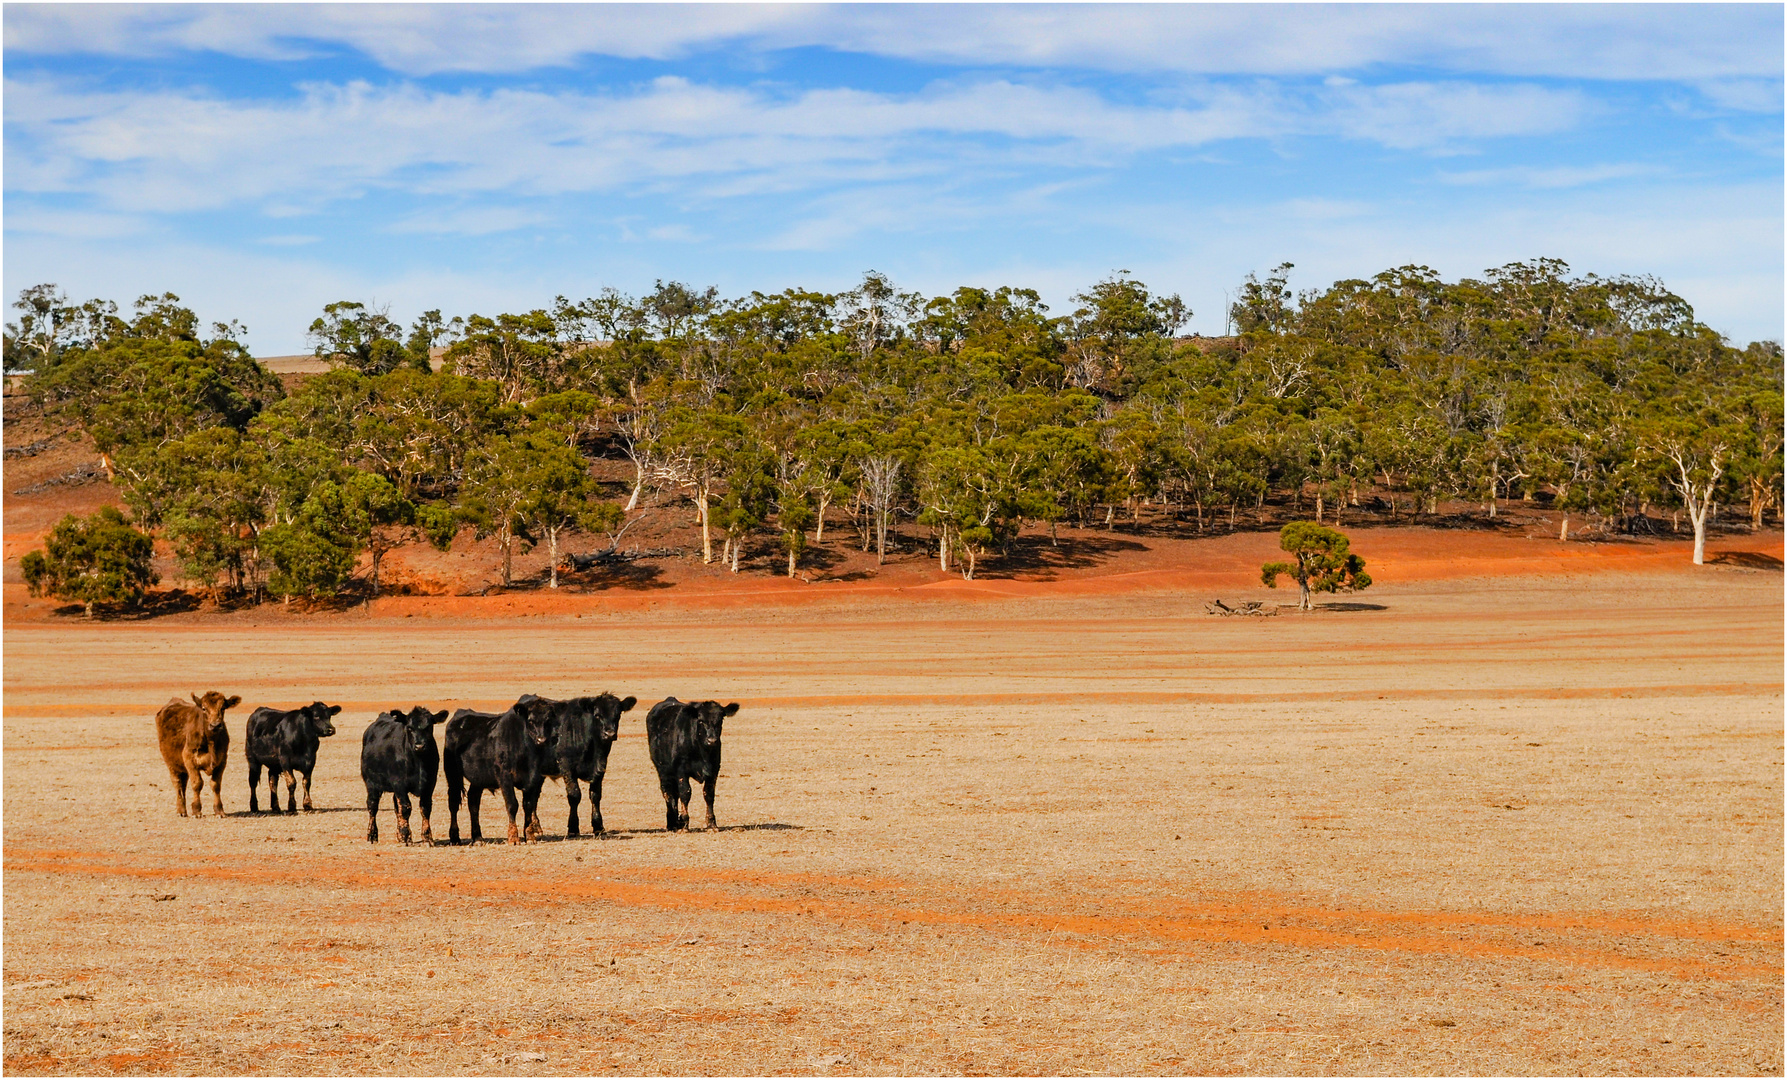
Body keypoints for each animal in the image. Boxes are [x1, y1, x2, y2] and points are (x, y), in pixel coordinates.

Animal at [360, 704, 450, 847]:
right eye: (409, 728)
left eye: (429, 727)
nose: (420, 746)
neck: (419, 762)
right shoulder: (399, 784)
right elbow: (406, 808)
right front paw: (406, 836)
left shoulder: (430, 784)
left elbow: (425, 808)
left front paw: (427, 838)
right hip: (371, 783)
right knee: (372, 806)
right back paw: (372, 835)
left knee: (396, 807)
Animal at [441, 700, 546, 843]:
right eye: (530, 720)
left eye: (547, 719)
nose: (541, 740)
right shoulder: (504, 777)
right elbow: (512, 804)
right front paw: (513, 837)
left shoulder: (532, 778)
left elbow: (529, 805)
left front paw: (529, 836)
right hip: (453, 774)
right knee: (453, 802)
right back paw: (455, 837)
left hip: (478, 778)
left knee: (473, 802)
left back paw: (478, 838)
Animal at [518, 697, 643, 840]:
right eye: (597, 715)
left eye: (618, 714)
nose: (610, 734)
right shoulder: (567, 767)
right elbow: (574, 795)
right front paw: (573, 829)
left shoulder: (600, 768)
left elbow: (595, 796)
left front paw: (598, 827)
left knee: (535, 795)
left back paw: (536, 827)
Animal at [646, 697, 736, 829]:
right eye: (701, 720)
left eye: (721, 719)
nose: (712, 740)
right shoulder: (681, 770)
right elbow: (685, 793)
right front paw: (684, 822)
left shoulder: (714, 770)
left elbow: (709, 794)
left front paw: (711, 823)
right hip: (663, 770)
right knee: (667, 792)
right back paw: (672, 823)